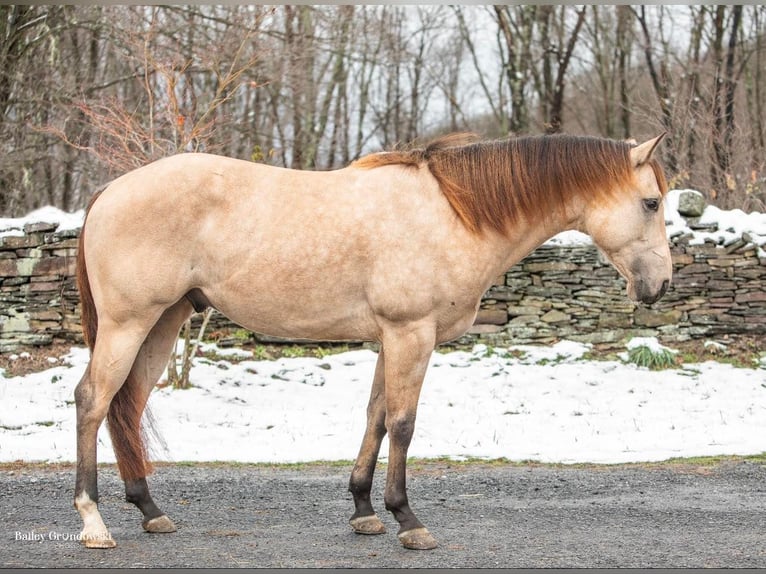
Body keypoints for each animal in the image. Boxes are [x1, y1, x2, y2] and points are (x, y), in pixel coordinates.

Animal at [73, 133, 672, 552]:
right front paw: (407, 519)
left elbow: (376, 417)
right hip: (129, 322)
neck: (453, 215)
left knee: (127, 405)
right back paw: (95, 522)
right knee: (92, 401)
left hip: (164, 322)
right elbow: (403, 424)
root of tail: (110, 190)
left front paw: (364, 510)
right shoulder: (412, 332)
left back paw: (149, 510)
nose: (660, 285)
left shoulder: (391, 336)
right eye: (650, 203)